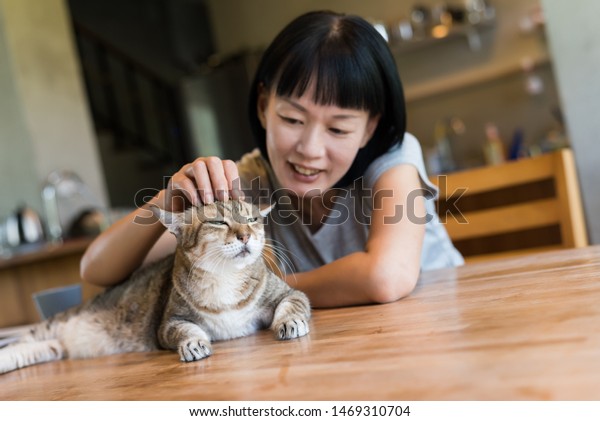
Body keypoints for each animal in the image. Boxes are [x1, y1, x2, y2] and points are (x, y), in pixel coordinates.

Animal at [0, 200, 310, 374]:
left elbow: (293, 303)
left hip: (53, 348)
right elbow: (185, 330)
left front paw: (291, 322)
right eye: (217, 221)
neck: (225, 277)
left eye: (253, 219)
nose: (245, 235)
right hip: (49, 327)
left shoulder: (287, 292)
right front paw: (193, 344)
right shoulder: (169, 322)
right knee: (21, 341)